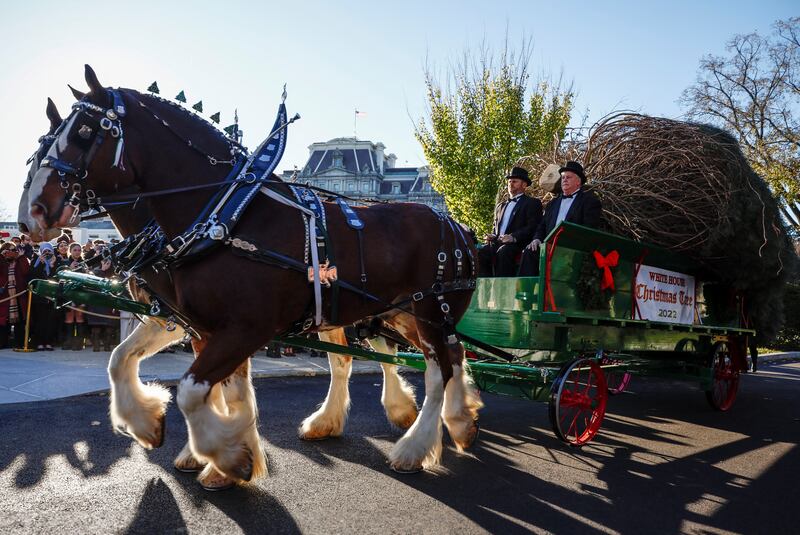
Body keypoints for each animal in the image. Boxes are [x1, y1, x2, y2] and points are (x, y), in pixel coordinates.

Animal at [26, 67, 482, 490]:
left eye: (85, 132)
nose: (32, 213)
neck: (222, 215)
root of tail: (460, 227)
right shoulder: (192, 322)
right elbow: (130, 363)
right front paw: (197, 442)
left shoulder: (243, 326)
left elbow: (193, 390)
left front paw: (227, 456)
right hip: (394, 315)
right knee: (435, 356)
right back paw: (449, 422)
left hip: (428, 312)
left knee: (438, 369)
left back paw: (414, 446)